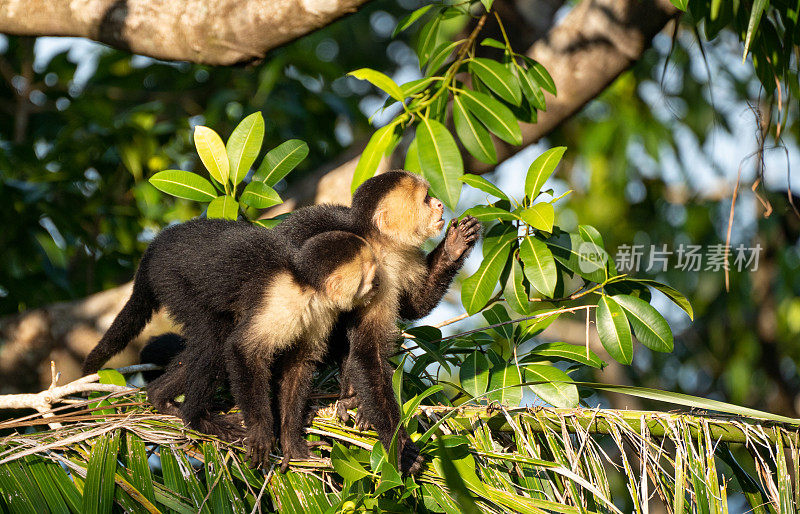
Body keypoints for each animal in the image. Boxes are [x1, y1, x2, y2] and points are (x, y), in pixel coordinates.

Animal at [83, 220, 380, 456]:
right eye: (369, 276)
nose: (377, 286)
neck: (307, 288)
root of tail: (157, 243)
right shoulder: (281, 303)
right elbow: (241, 350)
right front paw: (261, 431)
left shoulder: (321, 315)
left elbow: (298, 366)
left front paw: (291, 443)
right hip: (171, 278)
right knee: (215, 338)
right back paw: (198, 419)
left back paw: (159, 398)